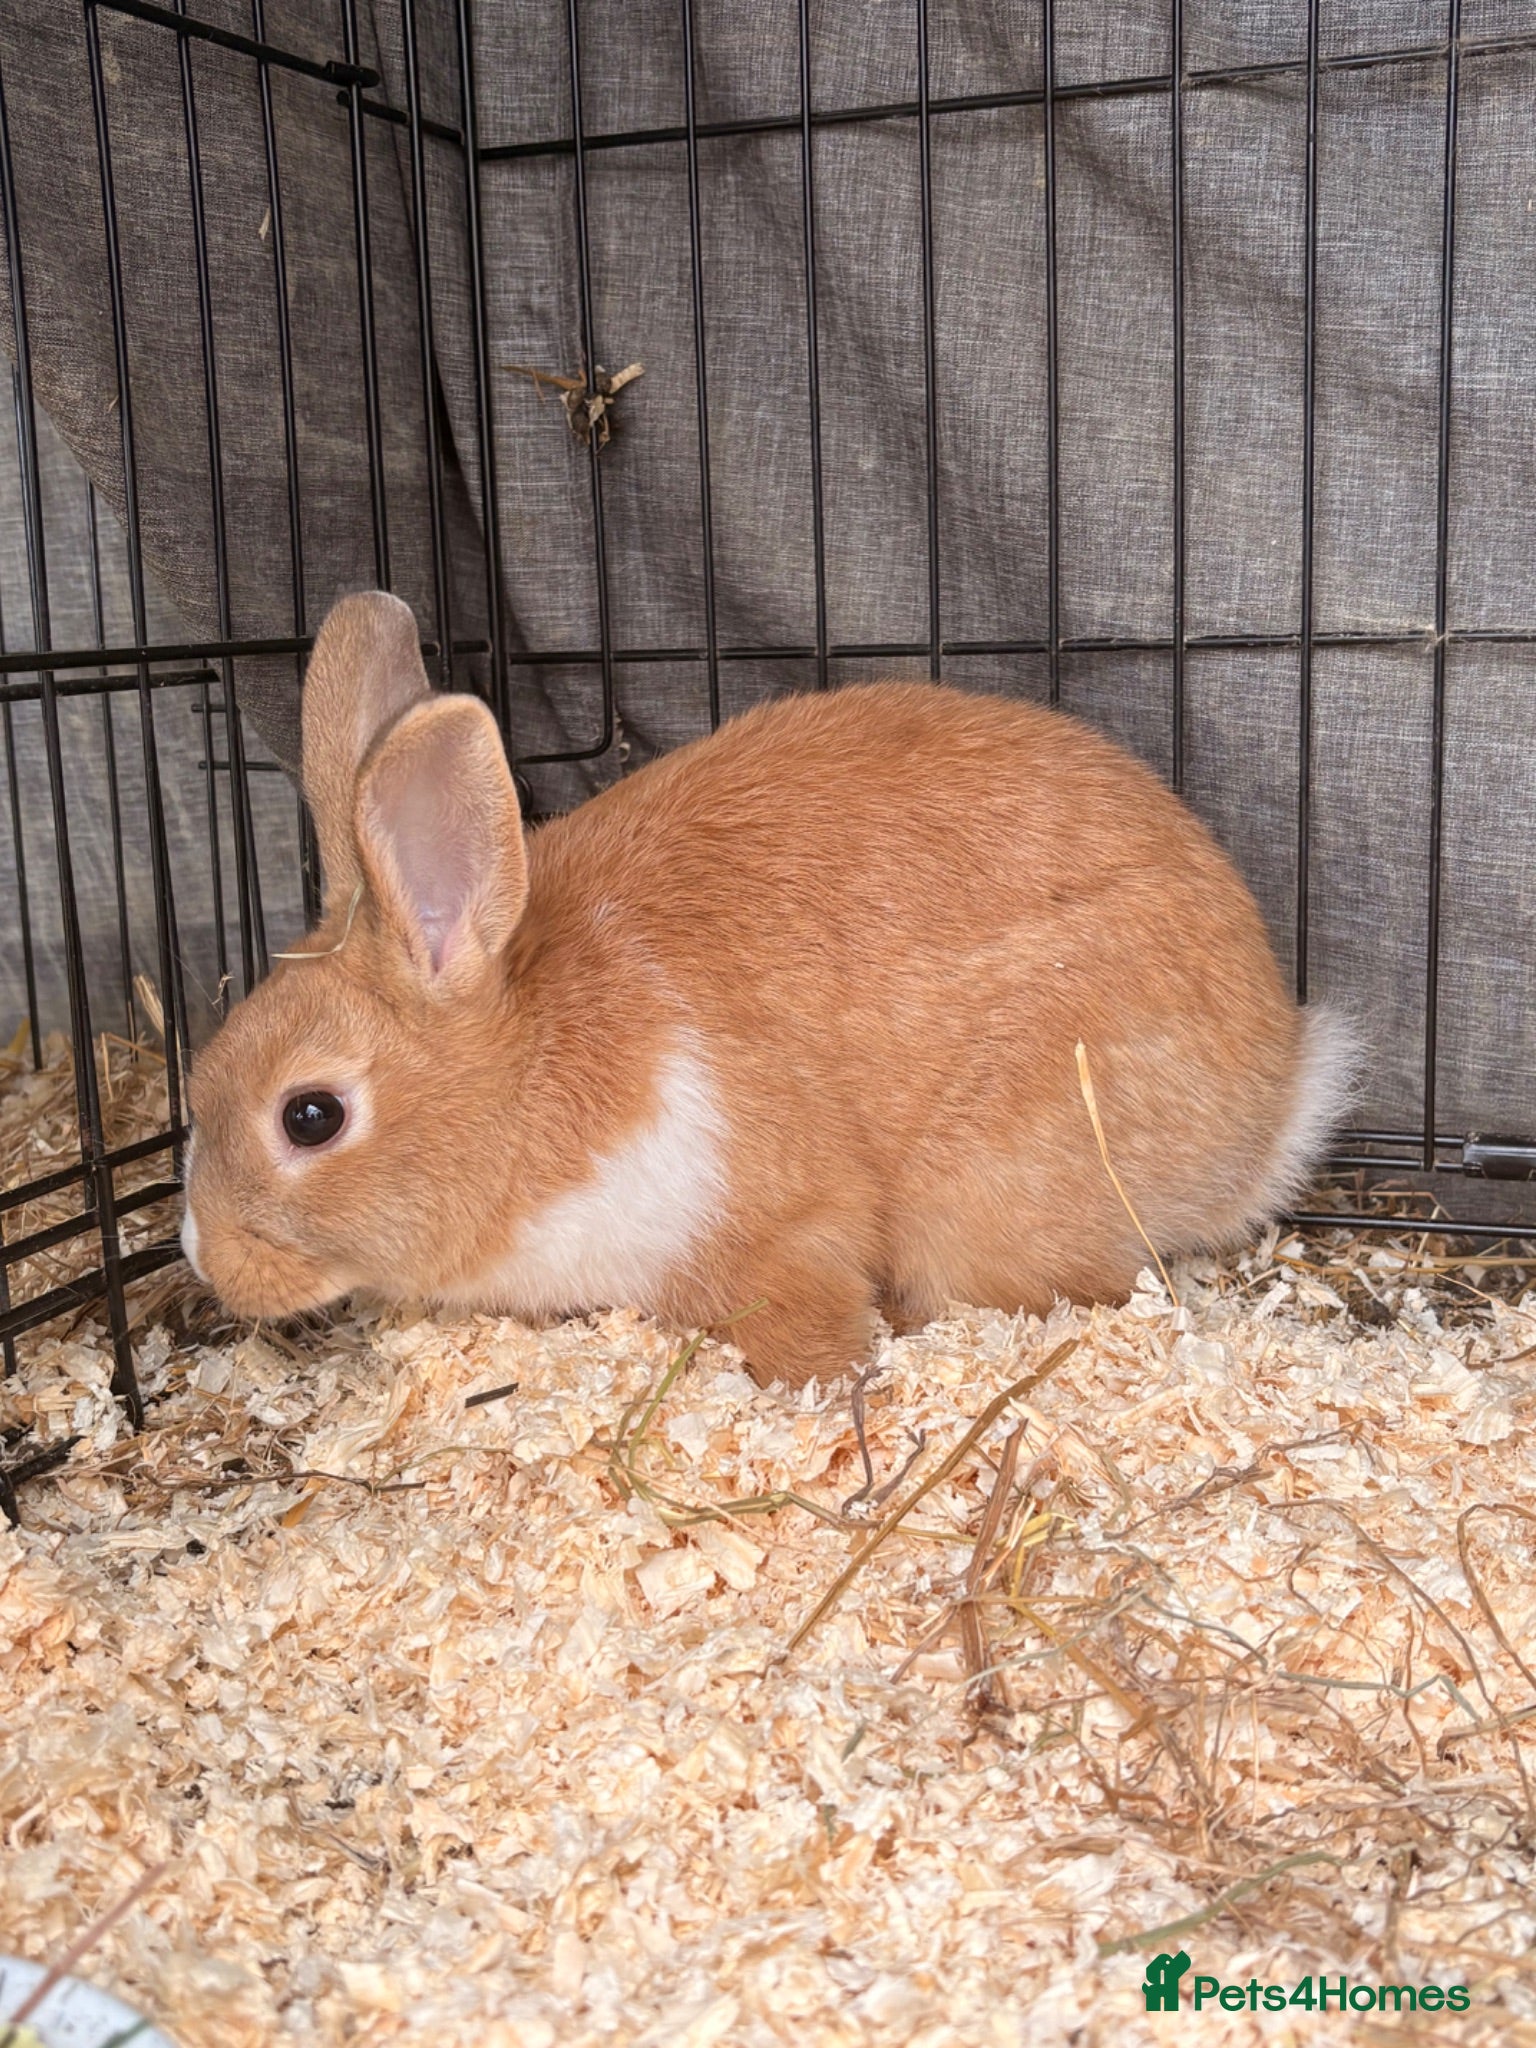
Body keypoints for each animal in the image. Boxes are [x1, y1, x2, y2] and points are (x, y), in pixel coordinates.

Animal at [180, 590, 1357, 1388]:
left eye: (312, 1116)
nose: (205, 1258)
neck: (523, 1078)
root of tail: (1272, 1103)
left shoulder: (764, 1221)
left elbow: (800, 1308)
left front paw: (836, 1374)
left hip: (991, 1186)